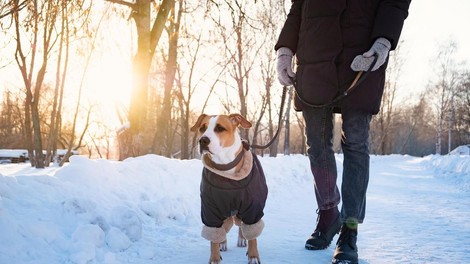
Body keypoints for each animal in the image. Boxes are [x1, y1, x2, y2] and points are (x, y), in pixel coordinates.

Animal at [191, 113, 268, 264]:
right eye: (202, 128)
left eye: (220, 128)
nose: (203, 140)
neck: (225, 168)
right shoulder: (210, 208)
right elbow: (213, 236)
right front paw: (214, 258)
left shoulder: (253, 207)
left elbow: (253, 235)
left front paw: (253, 256)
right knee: (222, 229)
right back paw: (222, 243)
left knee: (242, 226)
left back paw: (242, 239)